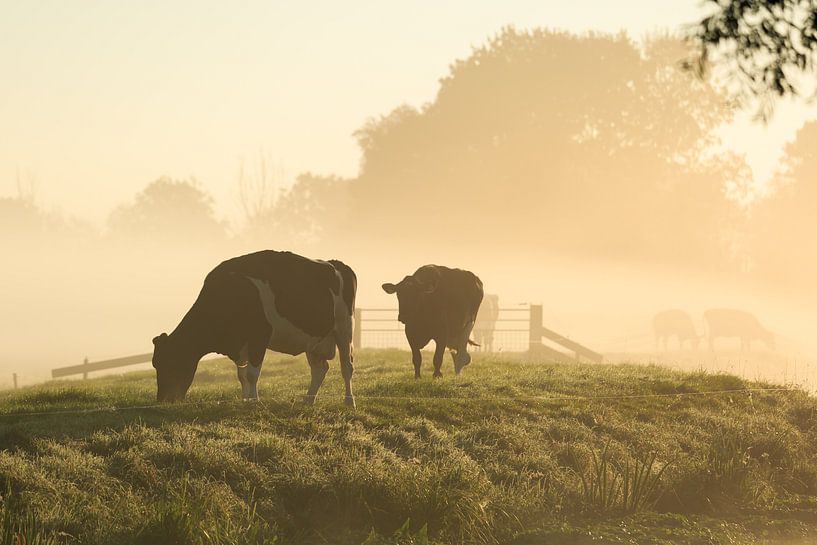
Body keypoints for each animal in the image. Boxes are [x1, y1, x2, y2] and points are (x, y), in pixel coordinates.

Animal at [151, 250, 356, 404]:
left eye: (170, 362)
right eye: (155, 364)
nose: (162, 400)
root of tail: (336, 263)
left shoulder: (259, 337)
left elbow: (251, 374)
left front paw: (254, 401)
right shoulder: (241, 344)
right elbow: (241, 375)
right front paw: (245, 400)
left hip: (344, 328)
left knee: (347, 366)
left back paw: (349, 401)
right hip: (313, 340)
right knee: (320, 369)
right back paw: (308, 400)